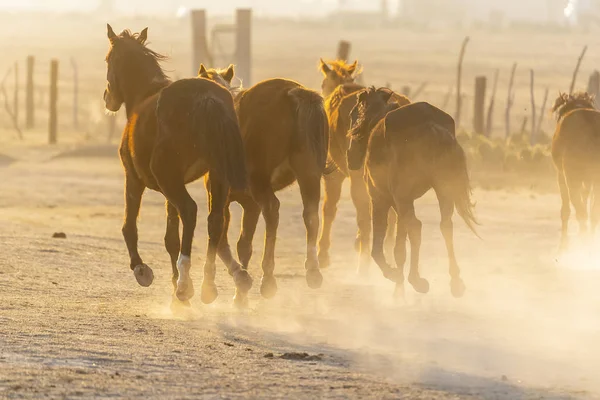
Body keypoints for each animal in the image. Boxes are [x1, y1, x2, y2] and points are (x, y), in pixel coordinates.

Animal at [104, 24, 250, 306]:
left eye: (108, 59)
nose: (108, 98)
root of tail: (207, 98)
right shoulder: (171, 186)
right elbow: (171, 236)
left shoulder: (135, 179)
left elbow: (130, 225)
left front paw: (142, 269)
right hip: (214, 176)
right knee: (214, 220)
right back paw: (207, 285)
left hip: (169, 177)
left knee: (191, 211)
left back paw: (185, 284)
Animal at [198, 64, 328, 300]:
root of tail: (293, 93)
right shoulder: (249, 203)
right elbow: (243, 243)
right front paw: (240, 295)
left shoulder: (219, 190)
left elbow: (216, 228)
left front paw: (209, 286)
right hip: (309, 175)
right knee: (310, 214)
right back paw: (312, 270)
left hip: (260, 182)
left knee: (272, 208)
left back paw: (268, 278)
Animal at [316, 57, 410, 274]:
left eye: (323, 84)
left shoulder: (334, 176)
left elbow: (329, 209)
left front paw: (323, 254)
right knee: (391, 215)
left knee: (365, 216)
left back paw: (363, 265)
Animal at [346, 88, 478, 300]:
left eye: (353, 114)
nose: (350, 157)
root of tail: (430, 126)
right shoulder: (400, 205)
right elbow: (400, 247)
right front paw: (398, 289)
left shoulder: (380, 199)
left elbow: (379, 249)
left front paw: (394, 276)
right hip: (442, 190)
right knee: (445, 226)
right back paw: (455, 282)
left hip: (402, 198)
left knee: (416, 227)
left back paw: (417, 281)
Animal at [552, 92, 600, 252]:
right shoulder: (589, 181)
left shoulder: (561, 176)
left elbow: (566, 210)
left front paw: (563, 245)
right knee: (592, 213)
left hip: (572, 177)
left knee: (581, 212)